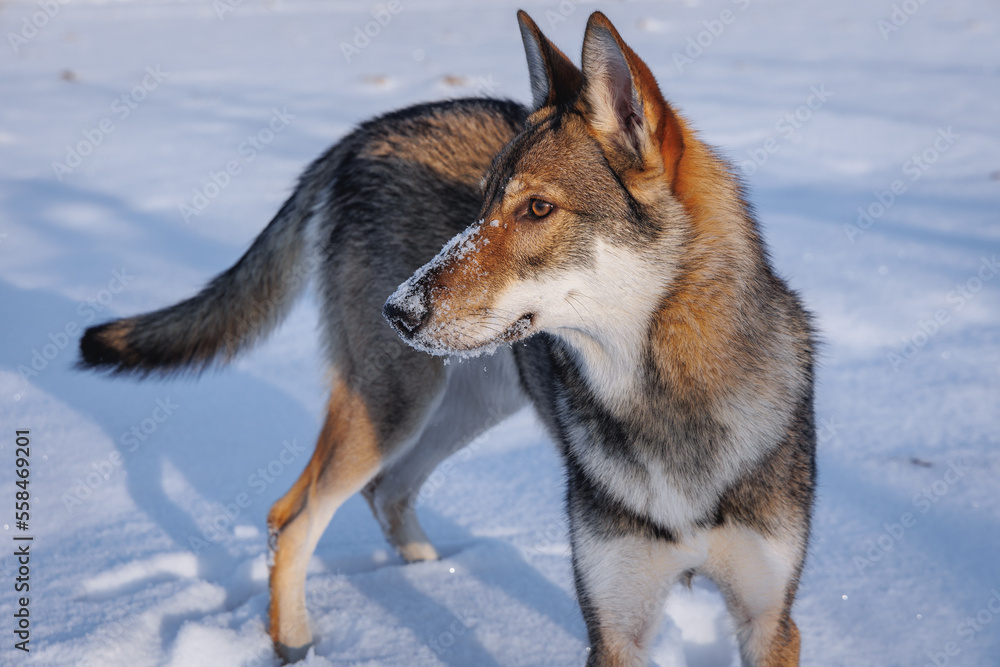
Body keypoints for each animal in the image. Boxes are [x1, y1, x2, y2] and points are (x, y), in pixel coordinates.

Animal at [76, 11, 812, 667]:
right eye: (481, 206)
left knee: (386, 492)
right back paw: (295, 642)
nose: (396, 310)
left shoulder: (770, 622)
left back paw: (429, 577)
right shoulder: (614, 627)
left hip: (467, 404)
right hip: (396, 405)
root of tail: (365, 132)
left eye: (537, 208)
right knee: (293, 514)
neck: (666, 405)